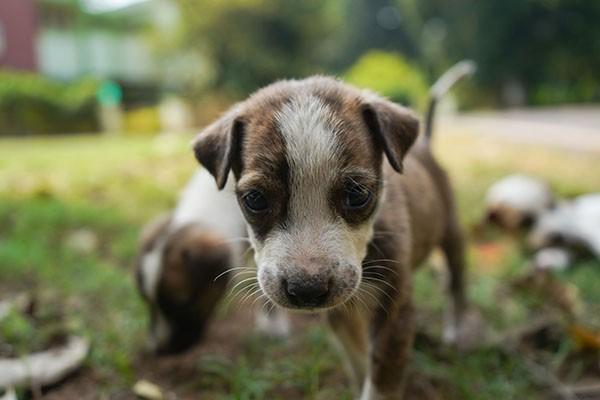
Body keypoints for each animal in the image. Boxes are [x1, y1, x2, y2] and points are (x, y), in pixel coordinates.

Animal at [195, 61, 476, 396]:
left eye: (358, 195)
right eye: (255, 199)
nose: (307, 289)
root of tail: (425, 145)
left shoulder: (395, 314)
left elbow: (381, 381)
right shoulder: (341, 315)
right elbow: (358, 363)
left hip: (452, 233)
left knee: (456, 285)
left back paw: (456, 332)